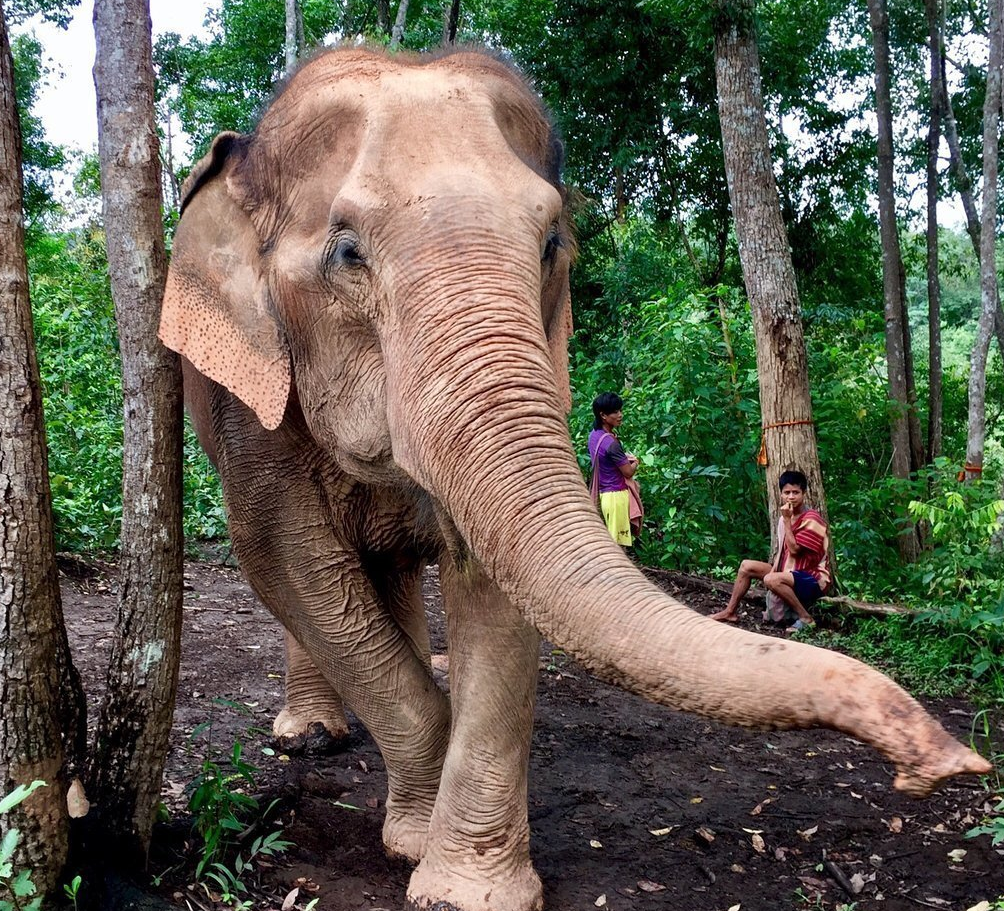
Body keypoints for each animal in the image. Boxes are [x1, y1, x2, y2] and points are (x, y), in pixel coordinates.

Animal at [160, 46, 991, 911]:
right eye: (347, 251)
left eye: (552, 242)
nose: (946, 765)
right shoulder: (246, 403)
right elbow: (282, 556)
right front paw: (417, 840)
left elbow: (493, 581)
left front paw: (462, 887)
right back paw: (314, 736)